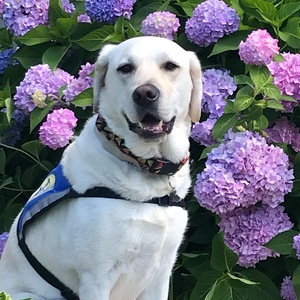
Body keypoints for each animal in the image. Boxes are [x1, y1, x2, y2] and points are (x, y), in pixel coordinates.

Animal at [0, 36, 203, 298]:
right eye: (125, 68)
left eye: (170, 66)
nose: (145, 93)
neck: (144, 166)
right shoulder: (96, 278)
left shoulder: (161, 273)